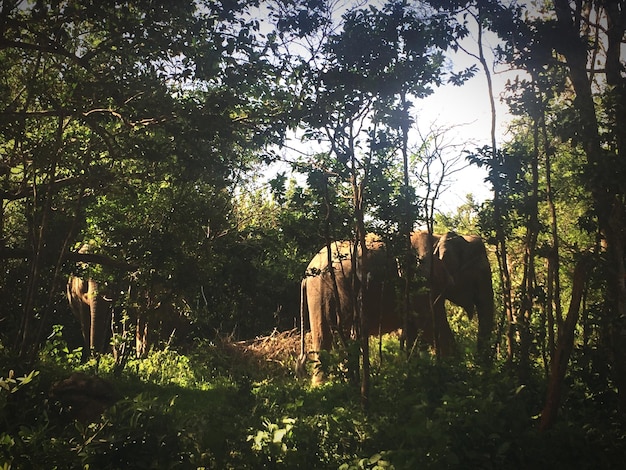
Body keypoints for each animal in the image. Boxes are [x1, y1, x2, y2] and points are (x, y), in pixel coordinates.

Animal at [298, 229, 492, 384]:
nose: (481, 368)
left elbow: (414, 330)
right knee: (324, 336)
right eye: (479, 275)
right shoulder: (420, 281)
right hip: (320, 291)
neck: (438, 237)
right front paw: (458, 373)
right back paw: (322, 387)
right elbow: (432, 325)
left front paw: (414, 373)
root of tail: (306, 274)